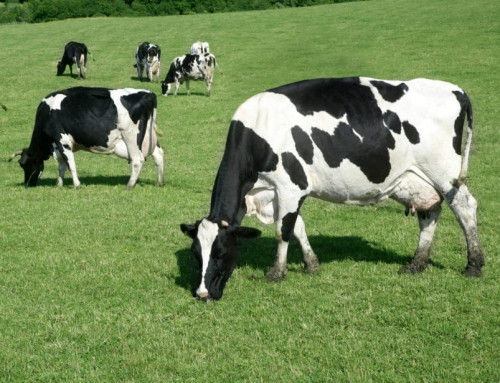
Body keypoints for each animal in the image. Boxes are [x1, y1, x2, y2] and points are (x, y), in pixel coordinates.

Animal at [10, 87, 164, 189]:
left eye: (25, 164)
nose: (28, 184)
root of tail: (148, 94)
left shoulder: (62, 140)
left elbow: (70, 163)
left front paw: (76, 185)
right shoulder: (58, 145)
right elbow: (61, 165)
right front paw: (59, 184)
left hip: (131, 137)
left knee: (138, 160)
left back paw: (129, 185)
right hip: (149, 137)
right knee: (159, 155)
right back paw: (160, 182)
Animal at [181, 76, 484, 302]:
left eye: (221, 253)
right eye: (196, 254)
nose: (202, 294)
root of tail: (455, 89)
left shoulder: (290, 186)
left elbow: (283, 231)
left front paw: (276, 273)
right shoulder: (279, 193)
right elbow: (298, 228)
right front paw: (311, 264)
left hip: (445, 172)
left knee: (465, 208)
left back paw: (474, 264)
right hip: (420, 180)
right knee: (430, 212)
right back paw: (417, 263)